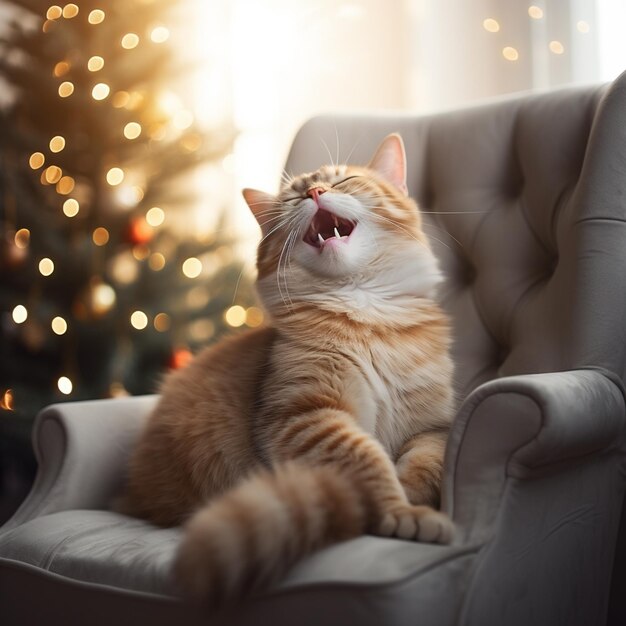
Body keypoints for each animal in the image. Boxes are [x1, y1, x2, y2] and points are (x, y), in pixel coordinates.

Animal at [119, 134, 454, 608]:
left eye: (342, 181)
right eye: (294, 196)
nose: (314, 192)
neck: (365, 310)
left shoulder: (431, 429)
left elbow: (421, 467)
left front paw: (410, 501)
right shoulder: (305, 414)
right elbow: (369, 459)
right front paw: (400, 511)